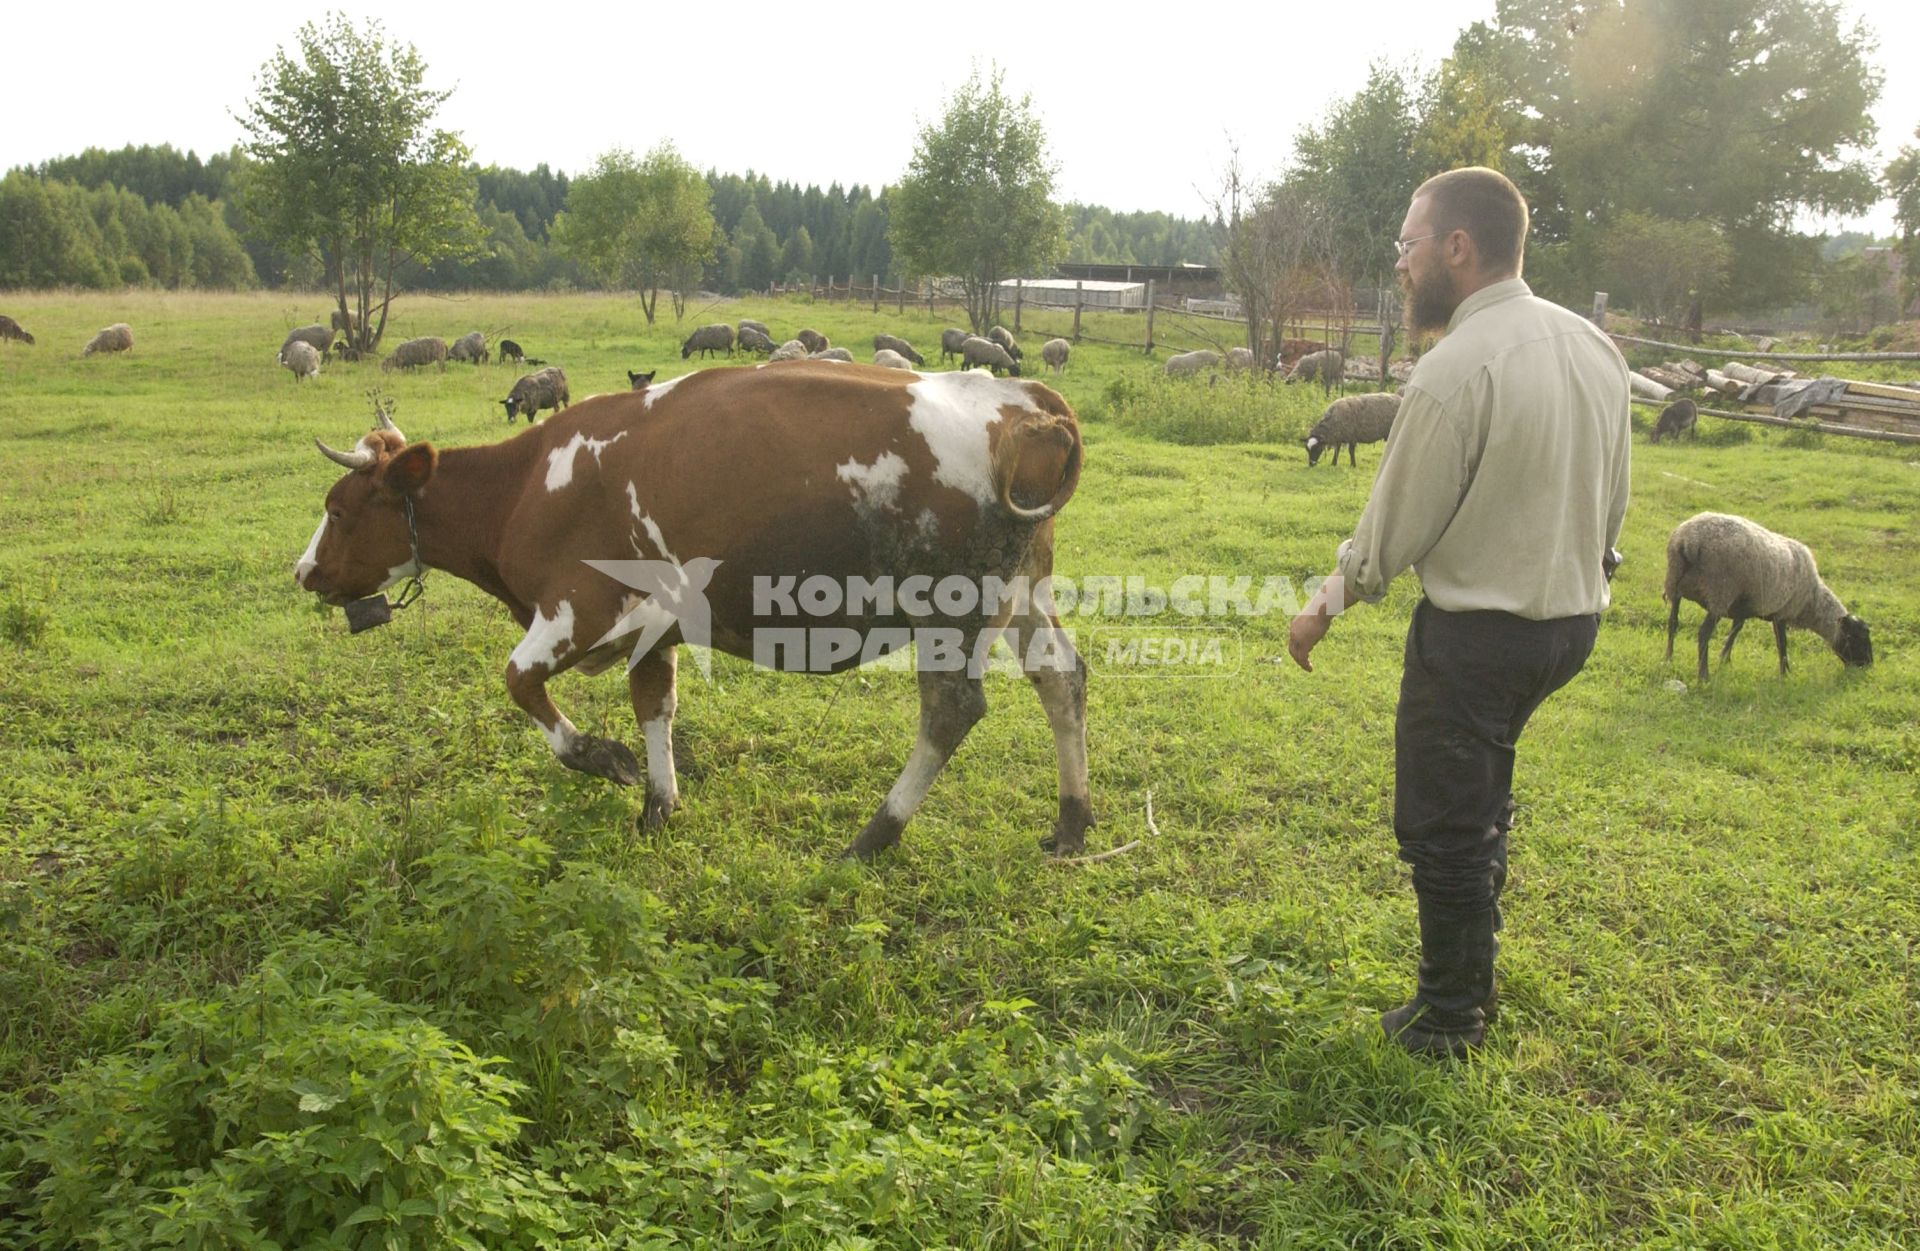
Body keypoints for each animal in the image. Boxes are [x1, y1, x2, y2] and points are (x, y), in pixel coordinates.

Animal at [291, 360, 1090, 859]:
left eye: (338, 508)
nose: (304, 572)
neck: (525, 487)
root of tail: (1029, 403)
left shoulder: (577, 606)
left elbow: (519, 682)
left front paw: (602, 758)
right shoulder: (656, 627)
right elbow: (655, 706)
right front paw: (658, 805)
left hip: (952, 608)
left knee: (951, 709)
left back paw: (874, 835)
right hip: (1023, 591)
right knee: (1062, 679)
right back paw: (1072, 824)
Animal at [1666, 510, 1873, 683]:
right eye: (1857, 637)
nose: (1869, 665)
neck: (1812, 602)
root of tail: (1689, 541)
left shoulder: (1742, 608)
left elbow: (1735, 632)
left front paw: (1725, 660)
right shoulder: (1781, 613)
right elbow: (1782, 644)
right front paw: (1785, 674)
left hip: (1675, 584)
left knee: (1673, 623)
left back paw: (1668, 659)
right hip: (1720, 591)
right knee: (1703, 633)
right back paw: (1703, 676)